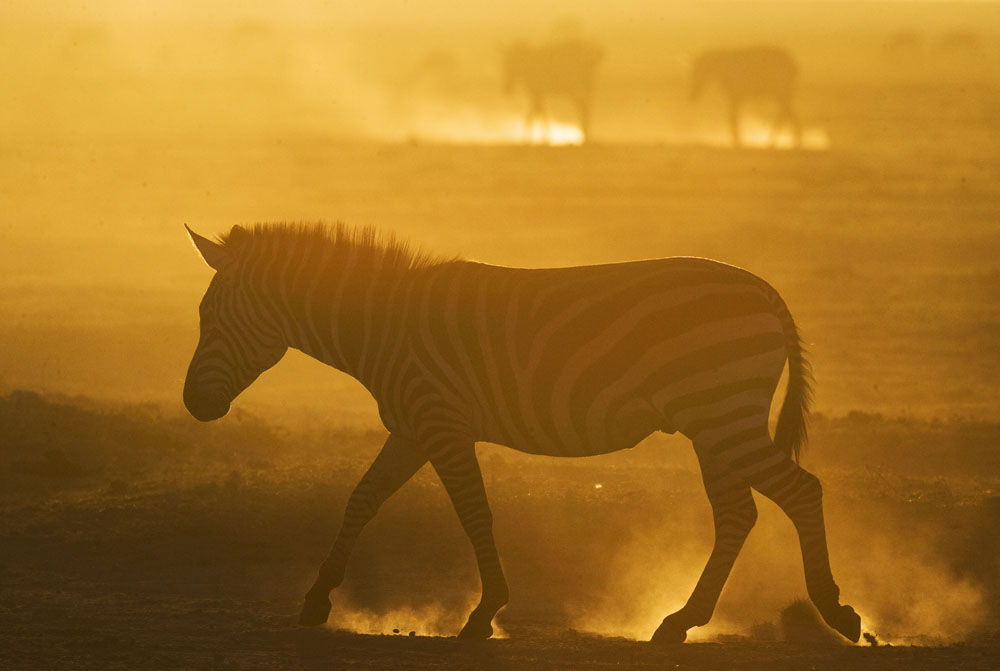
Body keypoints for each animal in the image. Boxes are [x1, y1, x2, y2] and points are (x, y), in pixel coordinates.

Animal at [182, 224, 860, 644]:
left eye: (208, 318)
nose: (192, 404)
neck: (383, 325)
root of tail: (765, 288)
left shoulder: (442, 424)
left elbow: (474, 513)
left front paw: (484, 614)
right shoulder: (411, 429)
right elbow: (361, 500)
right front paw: (316, 599)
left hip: (721, 416)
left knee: (800, 492)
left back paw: (835, 611)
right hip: (713, 425)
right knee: (738, 514)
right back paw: (681, 621)